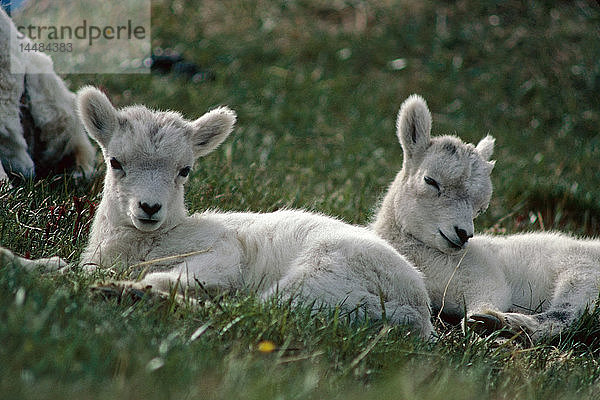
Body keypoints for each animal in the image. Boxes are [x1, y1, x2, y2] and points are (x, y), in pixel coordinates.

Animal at [79, 86, 434, 338]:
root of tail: (416, 310)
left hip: (323, 276)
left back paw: (126, 293)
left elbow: (175, 277)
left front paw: (126, 285)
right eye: (115, 162)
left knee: (256, 313)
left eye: (184, 170)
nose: (150, 208)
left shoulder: (221, 253)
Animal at [372, 94, 600, 340]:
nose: (463, 234)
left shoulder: (478, 272)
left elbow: (492, 295)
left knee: (570, 313)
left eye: (480, 208)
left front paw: (482, 318)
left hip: (582, 270)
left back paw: (505, 323)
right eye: (430, 181)